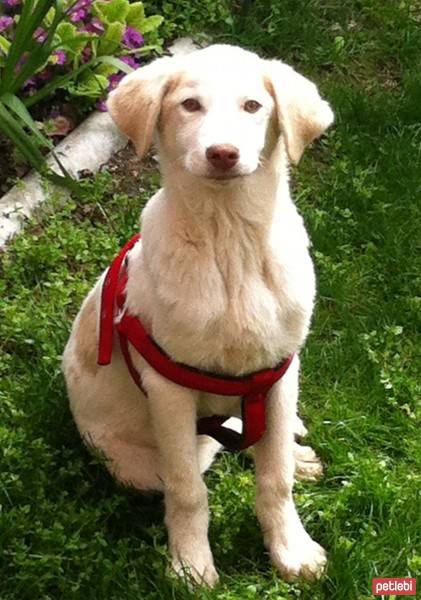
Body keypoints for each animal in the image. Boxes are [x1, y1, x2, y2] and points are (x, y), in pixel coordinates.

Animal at [61, 45, 332, 584]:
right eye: (189, 105)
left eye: (253, 106)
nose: (222, 153)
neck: (230, 245)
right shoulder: (170, 389)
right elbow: (188, 490)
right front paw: (190, 564)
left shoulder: (278, 370)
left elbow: (275, 477)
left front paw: (291, 548)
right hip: (134, 465)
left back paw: (294, 450)